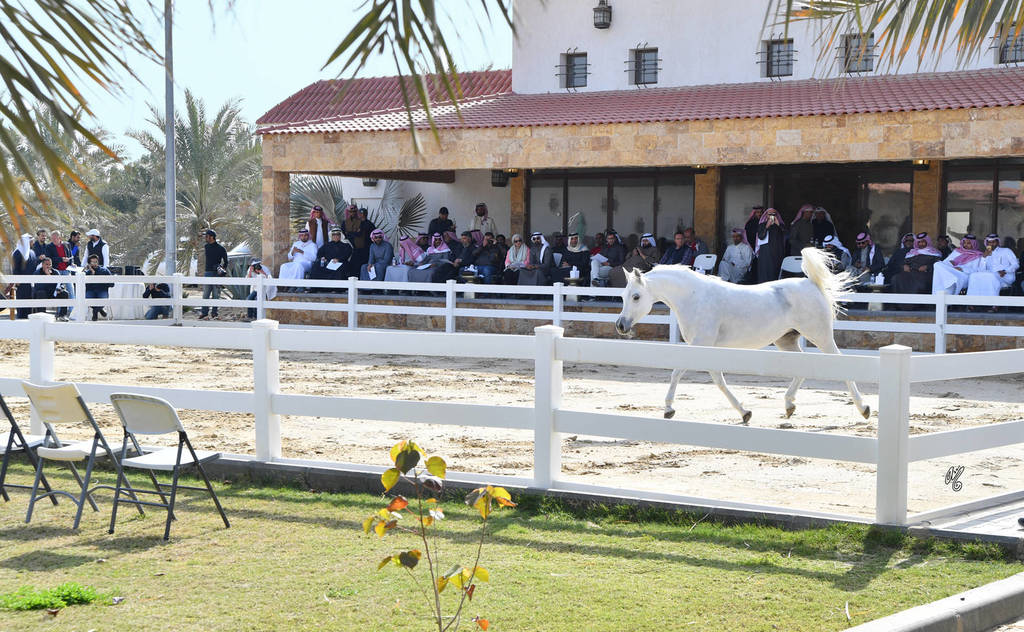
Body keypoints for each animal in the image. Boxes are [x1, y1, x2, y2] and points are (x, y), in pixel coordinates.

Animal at [613, 247, 870, 423]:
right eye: (624, 296)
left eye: (636, 296)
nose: (621, 326)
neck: (694, 296)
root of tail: (812, 284)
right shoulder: (706, 348)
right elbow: (718, 380)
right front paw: (745, 412)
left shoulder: (700, 344)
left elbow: (678, 373)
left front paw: (668, 409)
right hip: (786, 339)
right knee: (802, 367)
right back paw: (789, 405)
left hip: (820, 336)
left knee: (840, 363)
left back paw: (864, 408)